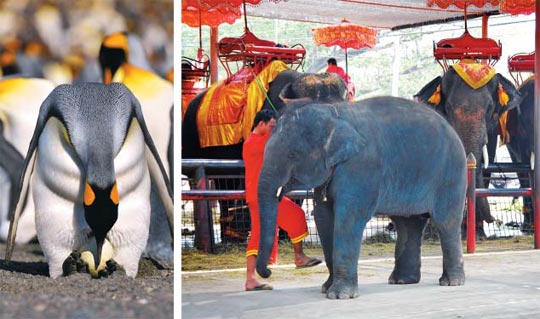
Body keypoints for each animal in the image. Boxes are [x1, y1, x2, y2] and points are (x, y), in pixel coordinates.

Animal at [255, 97, 466, 300]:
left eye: (293, 154)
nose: (268, 273)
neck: (334, 113)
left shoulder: (361, 167)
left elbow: (348, 217)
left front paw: (340, 296)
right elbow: (323, 218)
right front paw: (326, 289)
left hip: (451, 174)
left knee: (445, 222)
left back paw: (451, 282)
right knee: (408, 224)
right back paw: (402, 281)